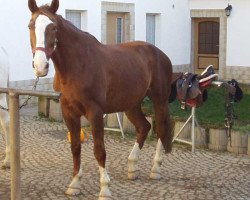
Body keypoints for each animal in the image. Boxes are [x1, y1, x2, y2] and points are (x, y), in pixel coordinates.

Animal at [27, 0, 172, 198]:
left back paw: (155, 169)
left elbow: (99, 150)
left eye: (53, 27)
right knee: (144, 127)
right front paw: (74, 185)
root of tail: (159, 53)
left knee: (161, 129)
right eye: (30, 26)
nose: (40, 66)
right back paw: (132, 167)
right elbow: (75, 147)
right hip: (131, 104)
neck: (78, 65)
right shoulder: (68, 112)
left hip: (159, 100)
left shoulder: (95, 112)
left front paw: (105, 189)